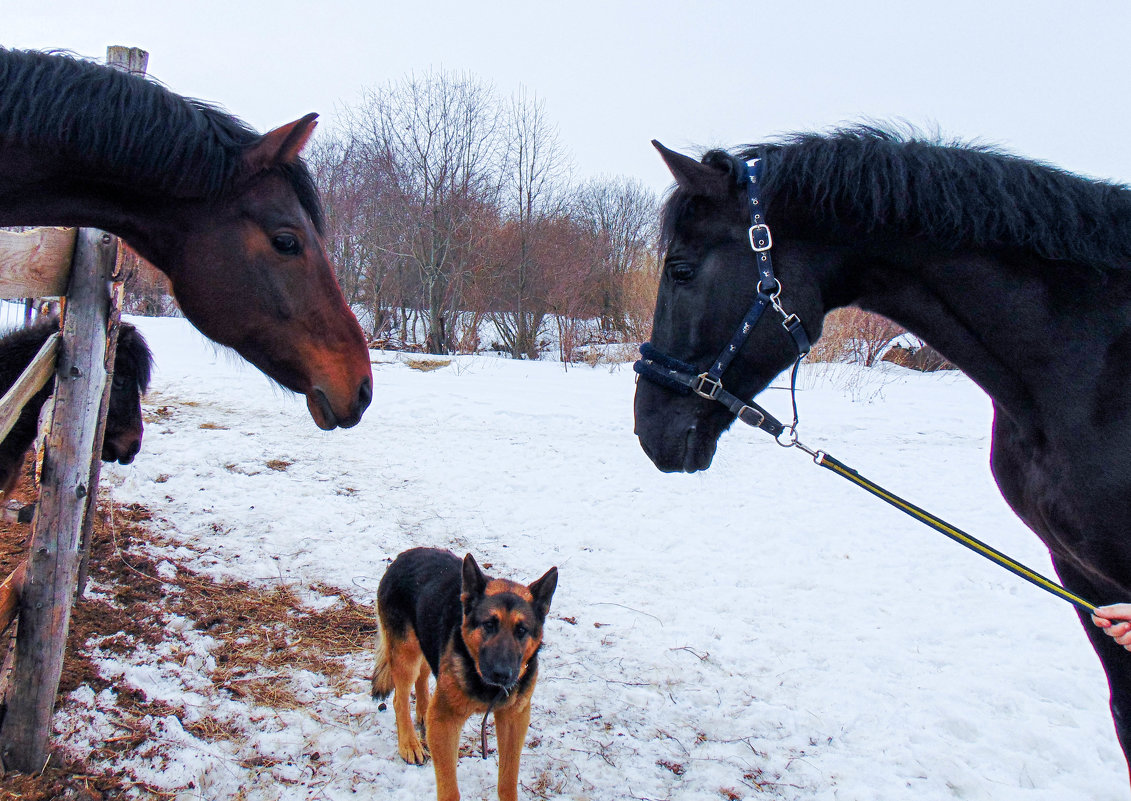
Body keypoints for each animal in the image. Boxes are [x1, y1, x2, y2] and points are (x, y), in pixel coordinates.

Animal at [370, 547, 556, 800]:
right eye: (489, 625)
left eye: (521, 630)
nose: (502, 674)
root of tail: (405, 555)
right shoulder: (445, 722)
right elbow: (450, 790)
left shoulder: (514, 720)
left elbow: (507, 783)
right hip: (406, 654)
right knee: (400, 699)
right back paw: (409, 744)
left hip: (426, 643)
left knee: (422, 676)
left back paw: (423, 712)